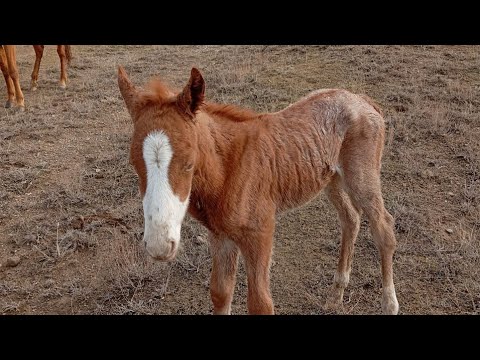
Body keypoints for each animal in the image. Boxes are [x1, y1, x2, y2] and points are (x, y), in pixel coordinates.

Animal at [118, 66, 400, 314]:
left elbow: (260, 304)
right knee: (350, 219)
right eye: (133, 163)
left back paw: (389, 305)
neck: (227, 170)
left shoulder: (260, 233)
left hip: (360, 176)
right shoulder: (220, 235)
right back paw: (335, 295)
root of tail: (362, 100)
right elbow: (220, 292)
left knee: (384, 227)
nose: (159, 245)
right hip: (331, 178)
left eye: (189, 162)